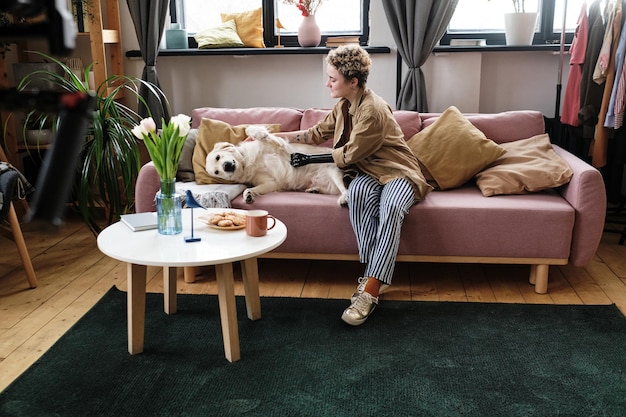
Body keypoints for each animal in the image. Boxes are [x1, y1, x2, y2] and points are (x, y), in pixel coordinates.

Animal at [206, 126, 348, 206]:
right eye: (216, 172)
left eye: (218, 157)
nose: (226, 166)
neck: (247, 162)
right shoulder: (271, 183)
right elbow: (252, 189)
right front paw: (248, 195)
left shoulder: (279, 145)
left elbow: (251, 130)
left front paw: (259, 133)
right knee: (334, 191)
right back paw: (315, 190)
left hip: (333, 170)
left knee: (344, 189)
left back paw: (343, 199)